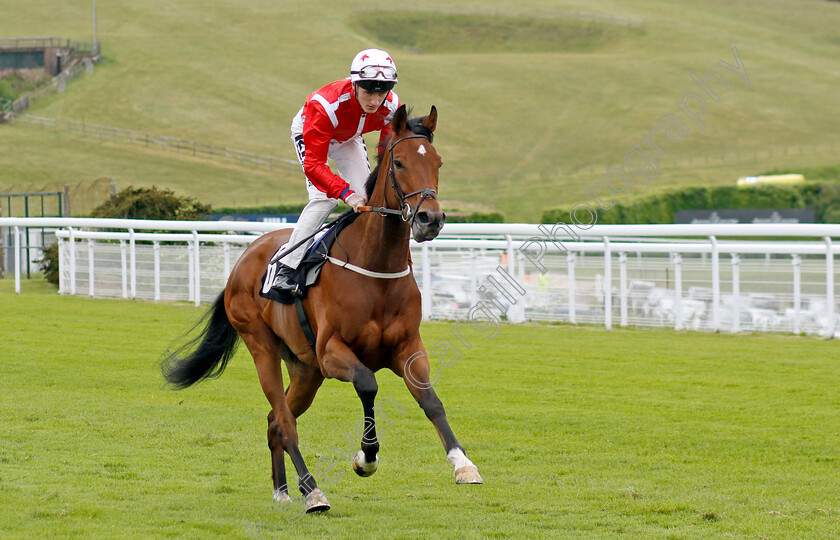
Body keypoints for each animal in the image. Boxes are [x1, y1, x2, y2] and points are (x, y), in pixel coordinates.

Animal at [162, 105, 482, 516]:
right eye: (399, 162)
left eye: (438, 162)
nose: (431, 219)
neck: (375, 267)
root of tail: (243, 260)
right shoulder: (332, 352)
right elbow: (368, 384)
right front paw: (366, 458)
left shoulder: (408, 347)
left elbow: (431, 400)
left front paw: (463, 463)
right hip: (263, 348)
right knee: (284, 422)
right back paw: (312, 491)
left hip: (304, 369)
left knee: (274, 420)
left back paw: (283, 490)